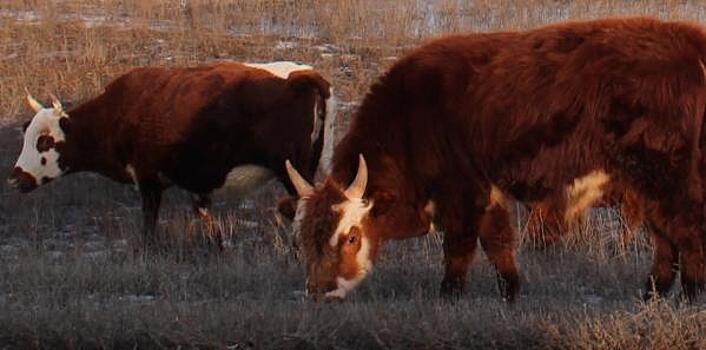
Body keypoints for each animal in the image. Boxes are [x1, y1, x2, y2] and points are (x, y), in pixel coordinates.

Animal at [7, 60, 332, 249]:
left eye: (44, 141)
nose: (14, 178)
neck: (120, 111)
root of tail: (303, 75)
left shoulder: (148, 180)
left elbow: (149, 224)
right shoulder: (196, 186)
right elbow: (206, 218)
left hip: (292, 172)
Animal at [284, 17, 704, 300]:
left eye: (352, 236)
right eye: (303, 237)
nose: (320, 291)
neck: (413, 113)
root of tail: (689, 40)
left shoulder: (462, 192)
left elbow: (460, 248)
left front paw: (449, 296)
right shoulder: (489, 191)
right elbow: (498, 243)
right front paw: (511, 292)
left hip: (666, 177)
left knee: (686, 232)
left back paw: (690, 293)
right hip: (647, 185)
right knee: (666, 239)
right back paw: (652, 293)